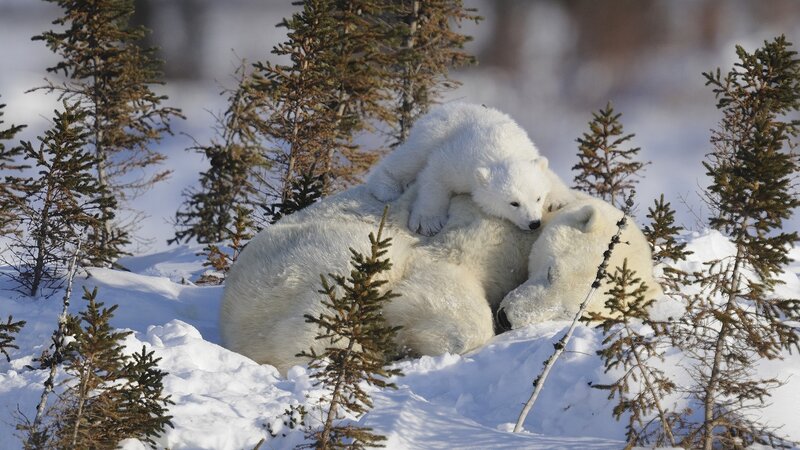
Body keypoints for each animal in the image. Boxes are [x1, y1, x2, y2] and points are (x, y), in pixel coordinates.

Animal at [367, 102, 572, 236]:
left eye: (538, 198)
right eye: (514, 203)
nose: (534, 223)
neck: (502, 150)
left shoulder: (528, 151)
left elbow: (548, 174)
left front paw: (558, 199)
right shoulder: (458, 160)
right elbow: (435, 176)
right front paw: (428, 222)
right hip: (432, 133)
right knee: (410, 158)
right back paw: (385, 188)